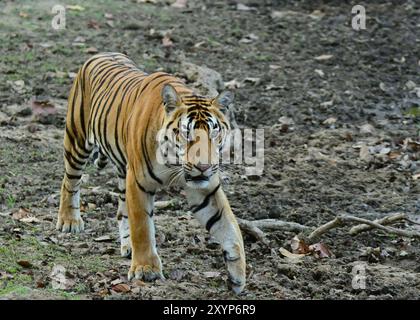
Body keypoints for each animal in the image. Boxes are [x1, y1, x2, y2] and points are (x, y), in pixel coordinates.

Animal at [55, 52, 246, 292]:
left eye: (214, 133)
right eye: (186, 133)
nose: (203, 166)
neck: (174, 163)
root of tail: (100, 53)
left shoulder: (205, 190)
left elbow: (230, 227)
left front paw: (238, 275)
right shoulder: (138, 182)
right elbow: (142, 227)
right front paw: (146, 270)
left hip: (121, 167)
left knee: (121, 210)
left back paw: (127, 246)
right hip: (77, 139)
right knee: (70, 181)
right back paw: (69, 221)